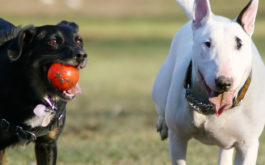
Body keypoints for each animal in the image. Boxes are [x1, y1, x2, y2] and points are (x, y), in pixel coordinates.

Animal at [152, 0, 264, 164]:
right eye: (207, 43)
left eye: (239, 44)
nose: (224, 82)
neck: (209, 107)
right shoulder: (178, 137)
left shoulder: (247, 145)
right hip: (160, 87)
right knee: (161, 106)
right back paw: (163, 124)